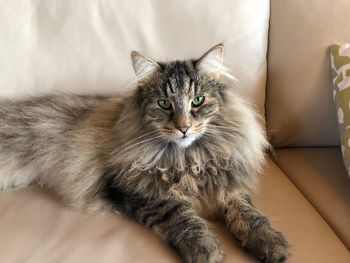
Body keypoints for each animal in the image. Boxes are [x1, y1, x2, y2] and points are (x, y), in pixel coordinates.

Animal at [0, 44, 288, 262]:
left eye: (197, 101)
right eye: (164, 104)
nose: (184, 127)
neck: (188, 159)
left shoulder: (227, 184)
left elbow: (247, 213)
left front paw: (270, 243)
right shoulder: (134, 191)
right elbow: (183, 217)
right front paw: (206, 248)